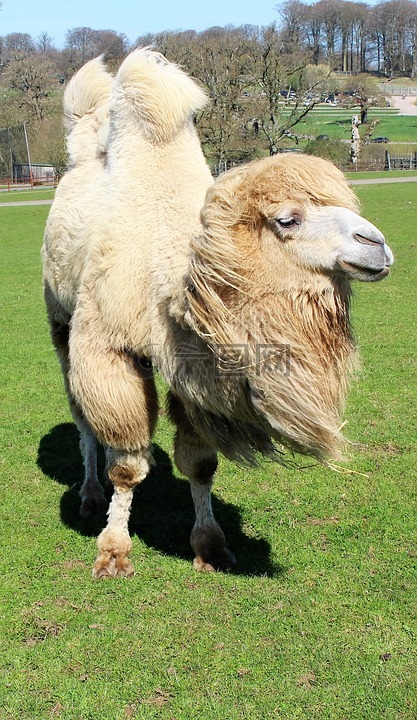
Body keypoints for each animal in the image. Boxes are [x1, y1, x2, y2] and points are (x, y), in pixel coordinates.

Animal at [43, 49, 394, 580]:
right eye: (287, 219)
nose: (378, 246)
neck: (172, 285)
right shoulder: (106, 346)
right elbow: (127, 464)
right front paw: (113, 551)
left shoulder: (195, 368)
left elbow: (201, 463)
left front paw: (210, 545)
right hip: (60, 323)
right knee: (81, 416)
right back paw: (88, 494)